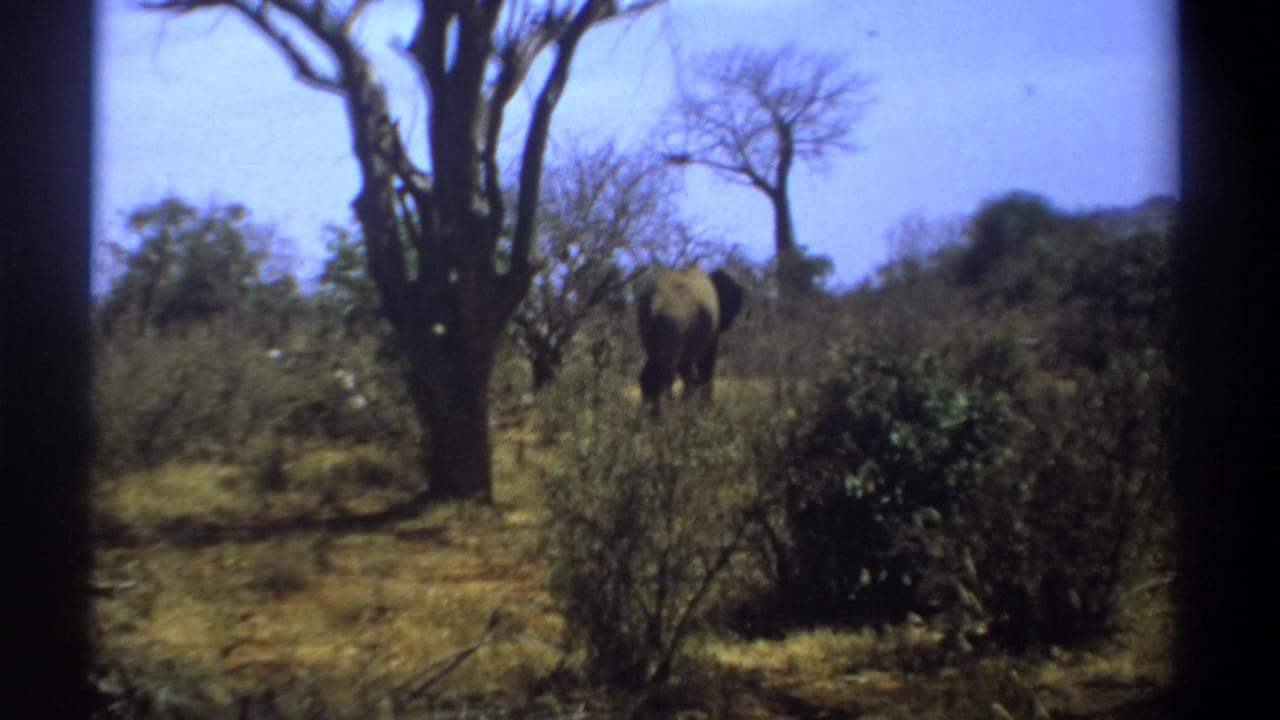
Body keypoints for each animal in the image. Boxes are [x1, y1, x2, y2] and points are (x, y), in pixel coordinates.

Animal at [637, 267, 744, 412]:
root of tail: (656, 302)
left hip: (647, 323)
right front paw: (705, 409)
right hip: (675, 321)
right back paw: (667, 413)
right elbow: (706, 362)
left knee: (658, 363)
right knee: (668, 369)